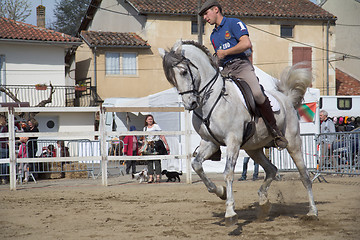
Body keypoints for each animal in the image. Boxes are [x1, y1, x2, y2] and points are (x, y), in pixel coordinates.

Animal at [159, 40, 316, 226]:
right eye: (171, 79)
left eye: (183, 71)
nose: (190, 104)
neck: (212, 99)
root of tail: (287, 99)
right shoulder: (209, 142)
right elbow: (197, 165)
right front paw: (220, 192)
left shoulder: (232, 140)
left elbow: (228, 173)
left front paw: (230, 213)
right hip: (253, 149)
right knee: (271, 169)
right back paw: (264, 202)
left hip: (293, 143)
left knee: (304, 176)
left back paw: (312, 212)